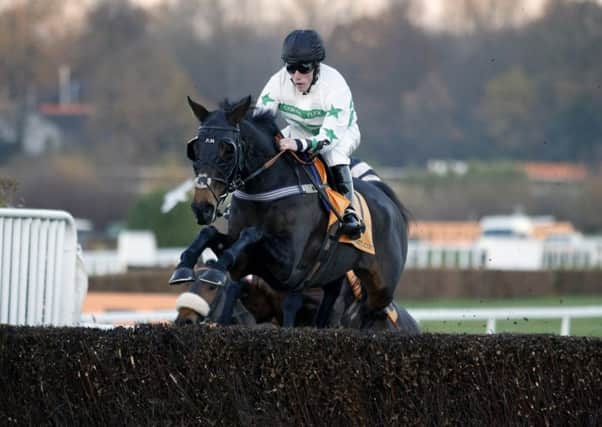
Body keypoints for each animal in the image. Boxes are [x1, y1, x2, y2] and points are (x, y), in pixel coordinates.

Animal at [171, 95, 410, 330]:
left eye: (227, 149)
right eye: (195, 149)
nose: (202, 207)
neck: (266, 189)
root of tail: (389, 202)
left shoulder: (289, 266)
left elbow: (253, 234)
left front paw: (213, 273)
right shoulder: (247, 262)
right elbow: (211, 234)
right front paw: (184, 267)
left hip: (382, 287)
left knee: (371, 311)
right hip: (333, 274)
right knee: (334, 296)